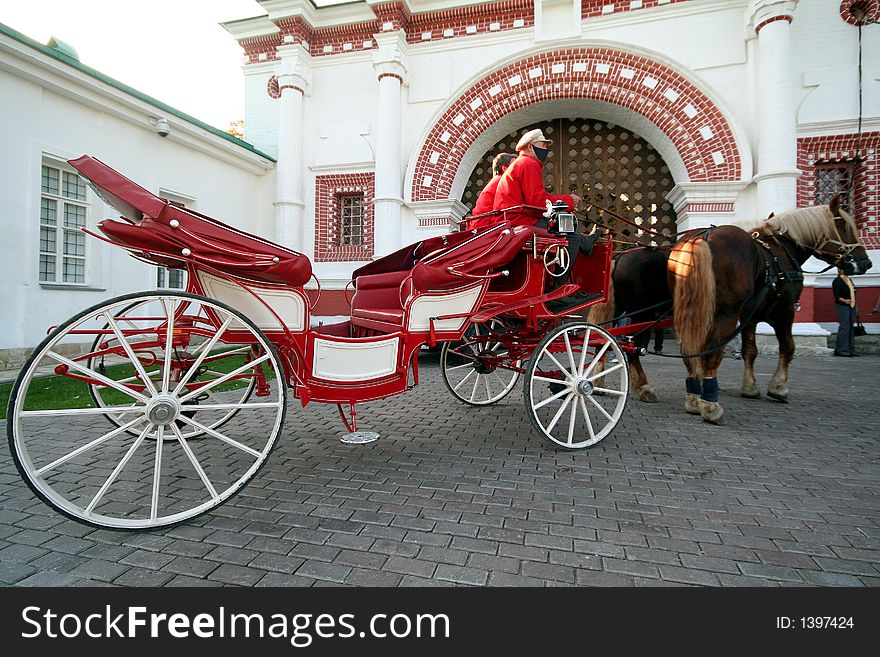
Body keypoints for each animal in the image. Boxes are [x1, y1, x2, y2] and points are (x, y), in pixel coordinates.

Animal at [672, 197, 868, 426]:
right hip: (726, 312)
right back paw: (711, 405)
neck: (779, 253)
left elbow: (750, 350)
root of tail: (702, 237)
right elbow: (788, 347)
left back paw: (694, 398)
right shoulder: (784, 311)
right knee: (712, 350)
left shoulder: (750, 316)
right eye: (845, 227)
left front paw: (750, 387)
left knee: (690, 349)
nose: (866, 262)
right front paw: (778, 387)